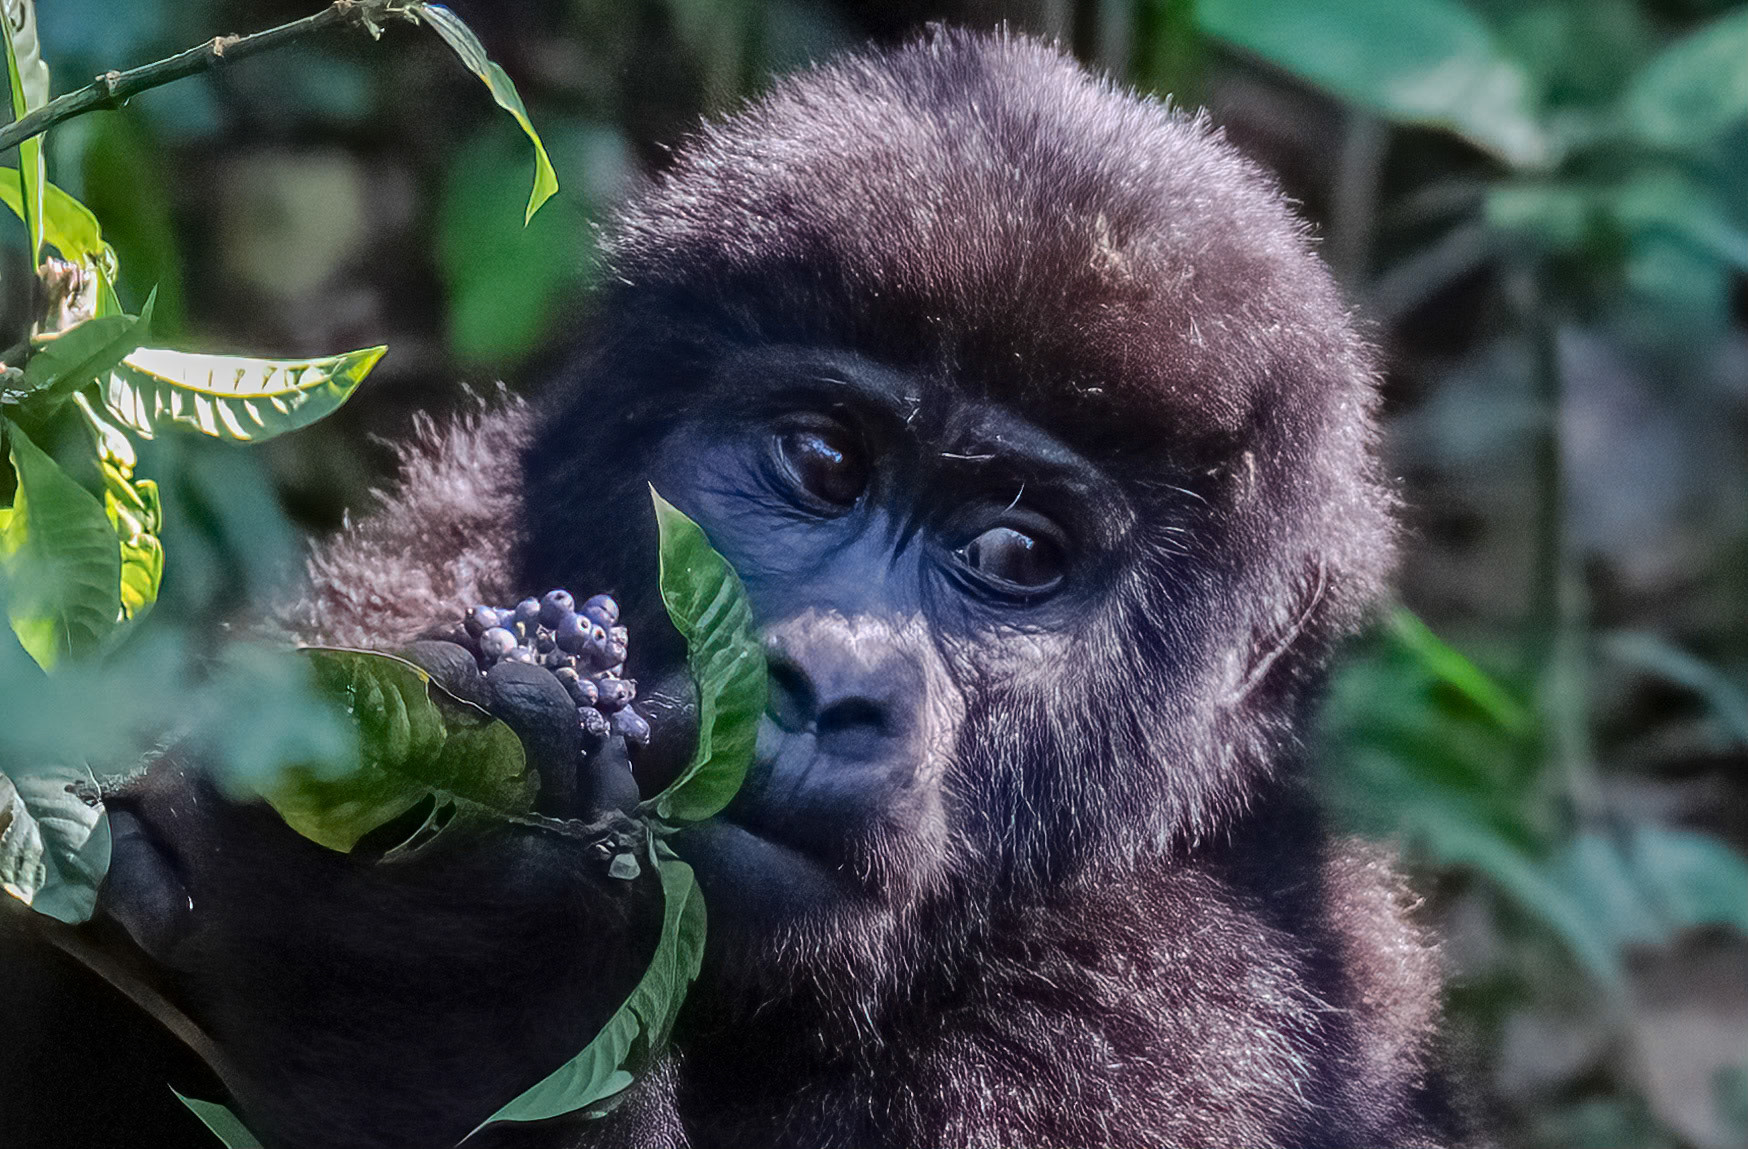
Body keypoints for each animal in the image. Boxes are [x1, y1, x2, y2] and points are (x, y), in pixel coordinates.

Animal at [2, 27, 1462, 1149]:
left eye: (1016, 558)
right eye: (822, 463)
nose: (822, 685)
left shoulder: (1188, 1014)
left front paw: (431, 950)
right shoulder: (406, 568)